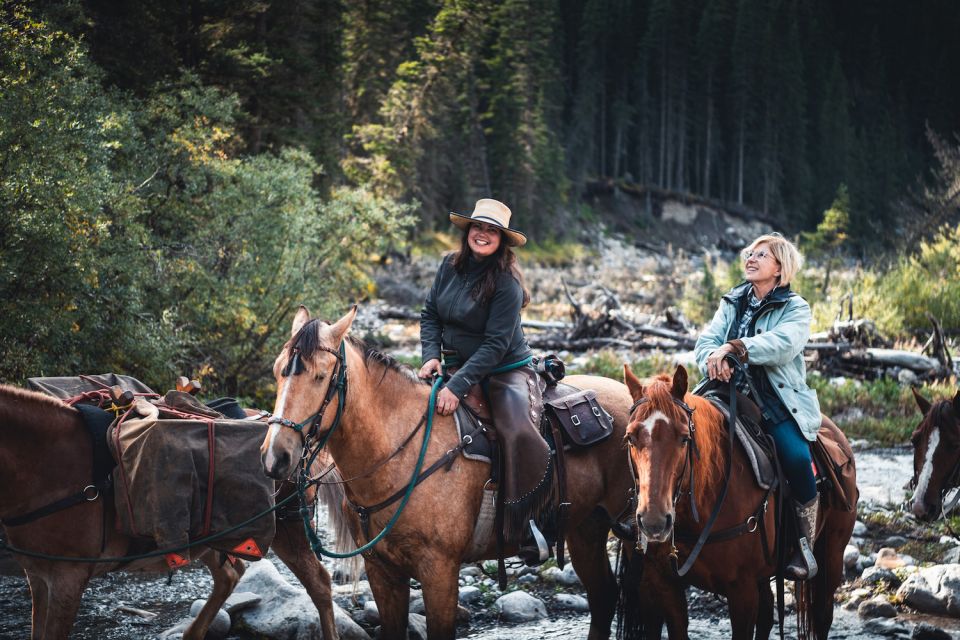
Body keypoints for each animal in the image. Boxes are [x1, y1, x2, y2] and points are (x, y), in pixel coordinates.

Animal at [0, 382, 340, 640]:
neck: (50, 464)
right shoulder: (38, 576)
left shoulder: (67, 579)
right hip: (211, 538)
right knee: (230, 575)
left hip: (288, 531)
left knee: (320, 584)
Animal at [258, 306, 640, 640]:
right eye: (277, 371)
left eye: (320, 376)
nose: (276, 456)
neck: (400, 451)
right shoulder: (382, 573)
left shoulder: (439, 572)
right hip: (585, 528)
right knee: (603, 598)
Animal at [628, 364, 860, 640]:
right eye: (630, 437)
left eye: (684, 438)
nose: (653, 522)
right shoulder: (665, 583)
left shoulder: (742, 590)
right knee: (768, 612)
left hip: (831, 555)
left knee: (822, 615)